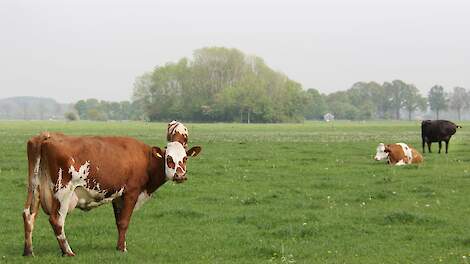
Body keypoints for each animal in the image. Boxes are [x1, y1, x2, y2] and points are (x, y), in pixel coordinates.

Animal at [22, 125, 202, 256]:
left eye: (185, 158)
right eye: (169, 159)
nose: (180, 175)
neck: (145, 159)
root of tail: (46, 136)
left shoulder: (118, 197)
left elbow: (119, 222)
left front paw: (120, 246)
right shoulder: (131, 192)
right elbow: (124, 222)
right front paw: (123, 250)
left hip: (35, 187)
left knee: (28, 214)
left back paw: (29, 251)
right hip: (63, 192)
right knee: (56, 220)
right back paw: (68, 252)